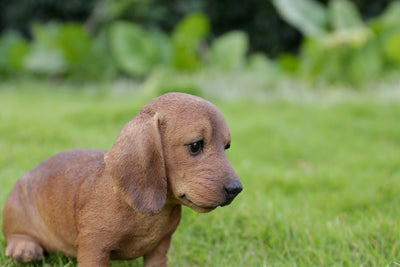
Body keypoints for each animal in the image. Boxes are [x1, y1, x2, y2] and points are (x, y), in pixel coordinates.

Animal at [1, 93, 242, 266]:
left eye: (227, 147)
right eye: (195, 146)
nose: (236, 189)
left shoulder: (160, 248)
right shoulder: (93, 248)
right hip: (16, 208)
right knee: (15, 234)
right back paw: (24, 247)